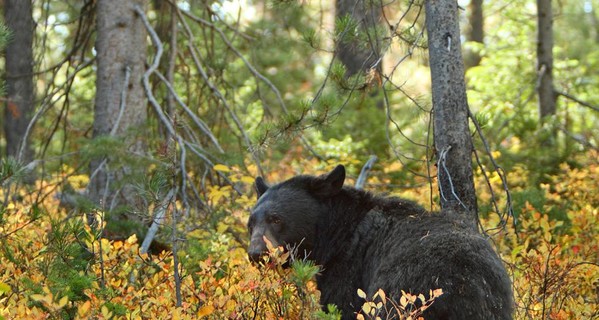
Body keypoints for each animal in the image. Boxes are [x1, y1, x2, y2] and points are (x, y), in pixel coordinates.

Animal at [246, 166, 512, 318]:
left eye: (276, 219)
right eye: (251, 223)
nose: (256, 253)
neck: (337, 235)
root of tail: (466, 283)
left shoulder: (350, 271)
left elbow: (341, 306)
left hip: (400, 294)